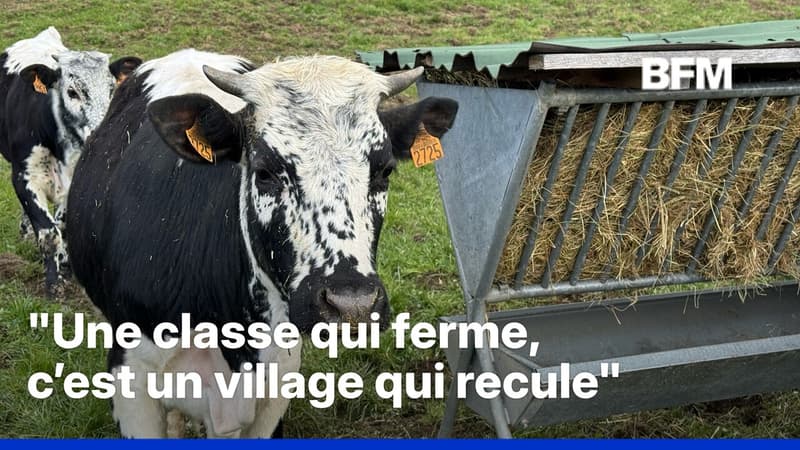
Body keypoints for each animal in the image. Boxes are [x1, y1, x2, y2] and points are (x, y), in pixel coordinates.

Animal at [0, 27, 141, 297]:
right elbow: (48, 233)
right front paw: (53, 284)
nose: (100, 133)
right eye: (72, 92)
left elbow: (62, 226)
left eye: (111, 90)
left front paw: (64, 265)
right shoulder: (25, 177)